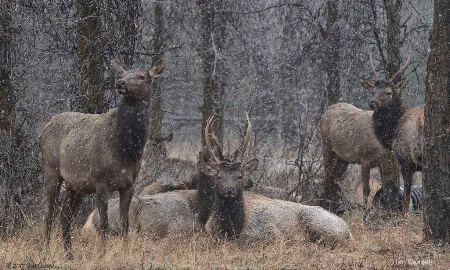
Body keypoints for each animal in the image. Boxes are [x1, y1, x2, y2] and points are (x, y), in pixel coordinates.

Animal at [40, 58, 165, 258]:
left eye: (141, 76)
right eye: (123, 74)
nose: (120, 83)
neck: (125, 150)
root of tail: (43, 130)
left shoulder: (129, 183)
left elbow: (124, 224)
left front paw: (125, 253)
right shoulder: (100, 180)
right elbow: (104, 223)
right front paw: (101, 254)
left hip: (77, 184)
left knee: (65, 215)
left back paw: (69, 255)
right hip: (51, 169)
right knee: (49, 211)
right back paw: (45, 251)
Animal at [360, 52, 424, 216]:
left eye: (388, 92)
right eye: (372, 91)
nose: (372, 103)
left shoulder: (406, 158)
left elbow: (407, 197)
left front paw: (405, 218)